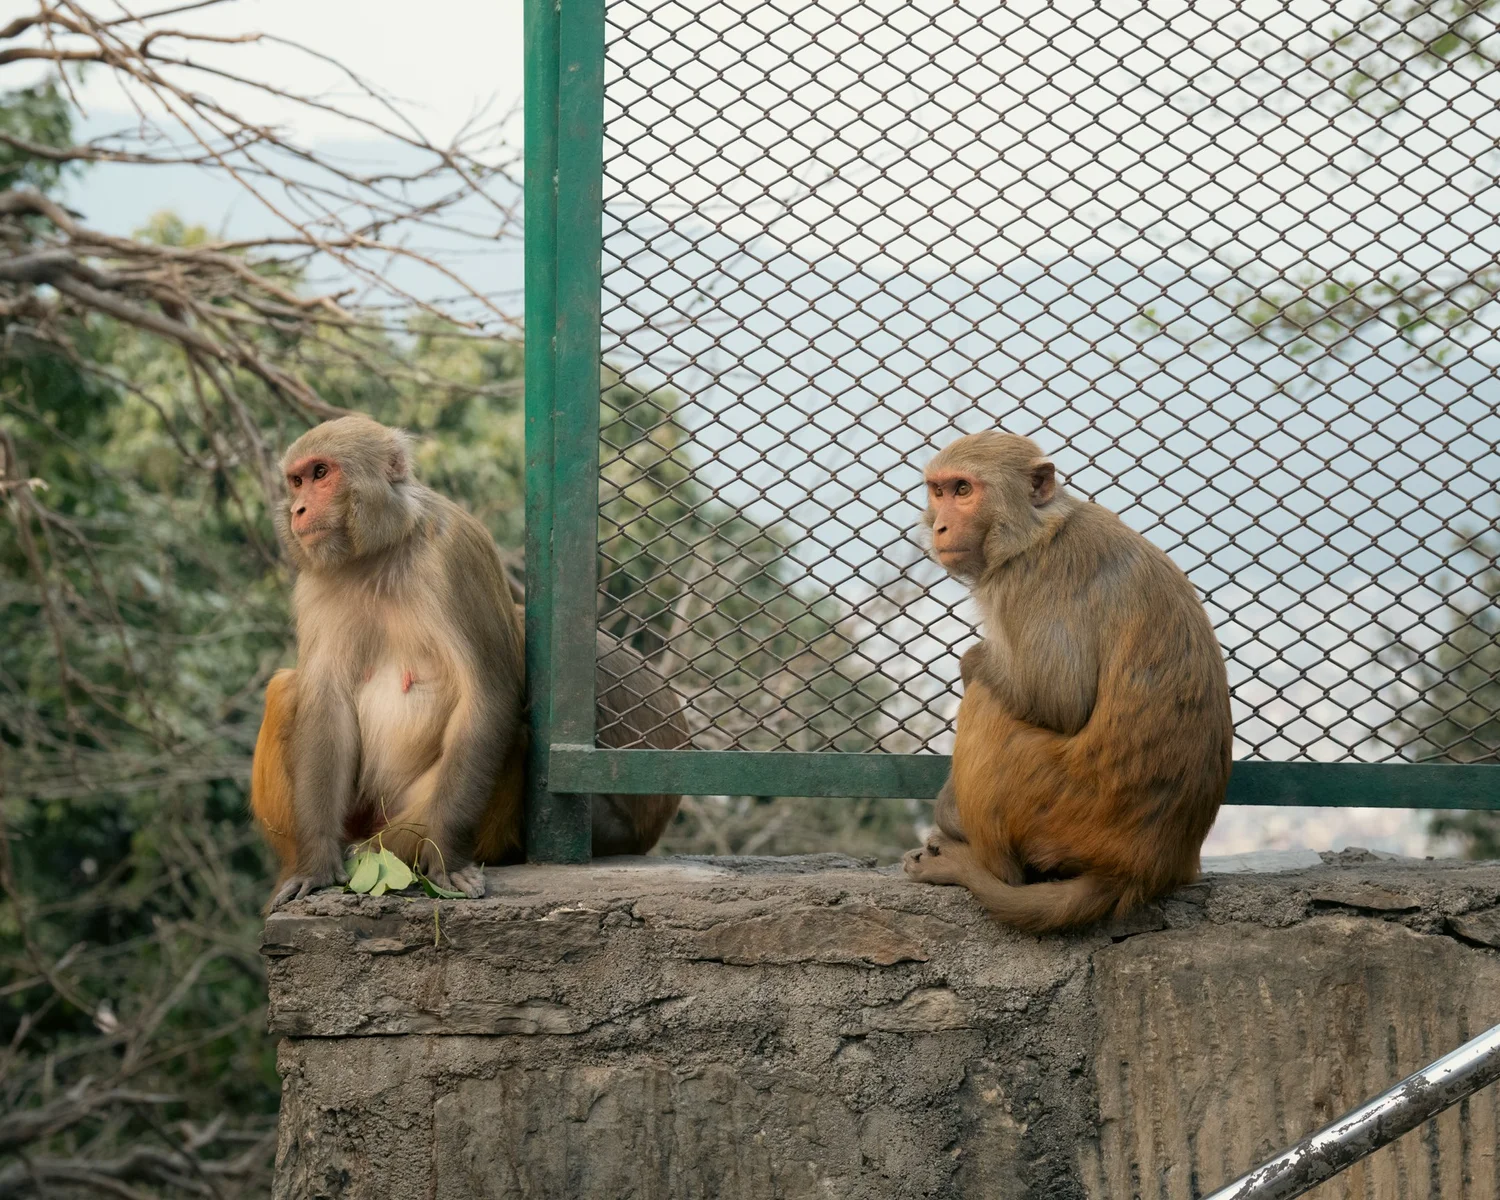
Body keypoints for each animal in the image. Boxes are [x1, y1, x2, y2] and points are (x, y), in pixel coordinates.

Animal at [902, 431, 1232, 933]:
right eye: (938, 491)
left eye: (963, 490)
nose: (939, 526)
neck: (1036, 531)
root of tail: (1144, 867)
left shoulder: (1029, 580)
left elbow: (1057, 700)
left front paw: (972, 659)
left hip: (1056, 804)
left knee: (987, 703)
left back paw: (980, 866)